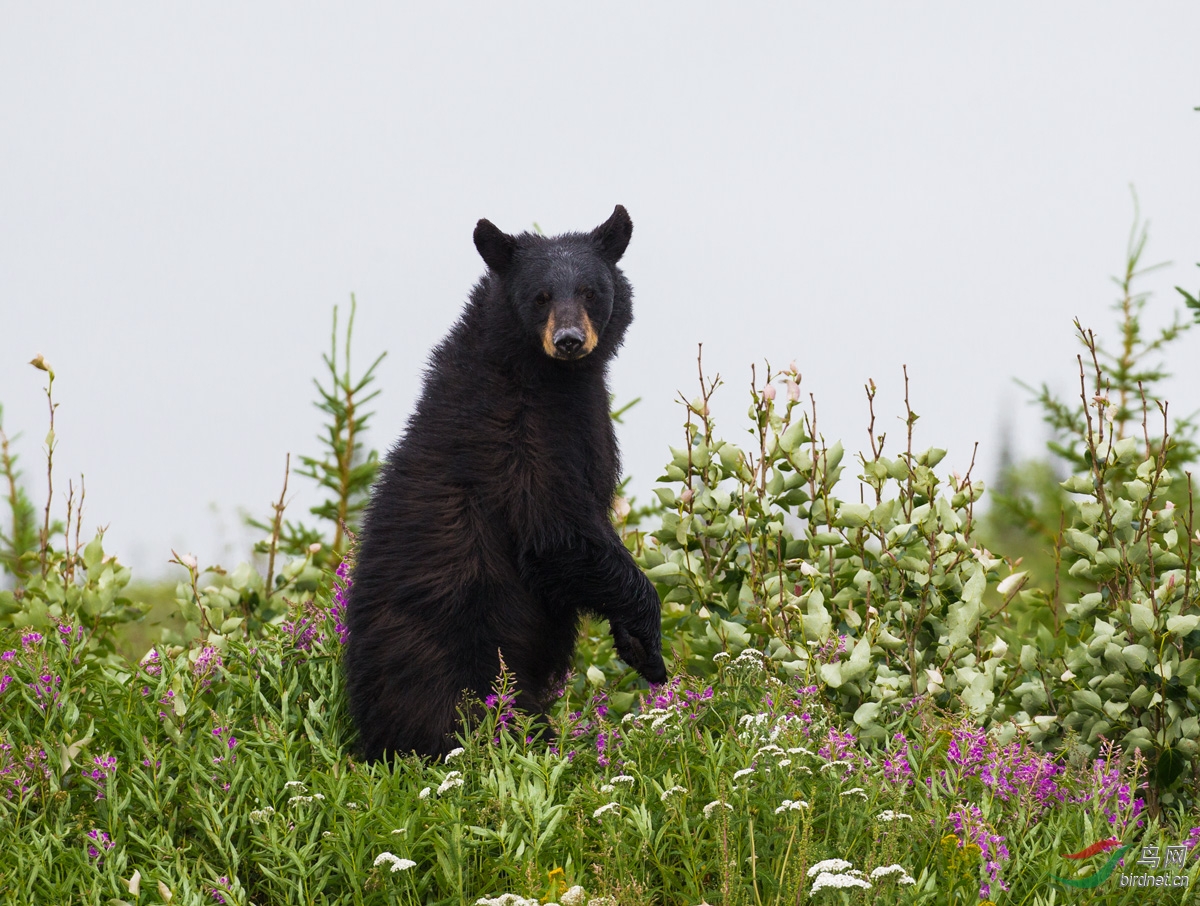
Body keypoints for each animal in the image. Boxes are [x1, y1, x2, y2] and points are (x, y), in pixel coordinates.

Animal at [345, 204, 667, 758]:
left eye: (589, 291)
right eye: (540, 296)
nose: (568, 341)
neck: (548, 378)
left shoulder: (586, 422)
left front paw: (633, 640)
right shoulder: (518, 438)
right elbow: (557, 535)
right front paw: (648, 638)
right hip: (457, 653)